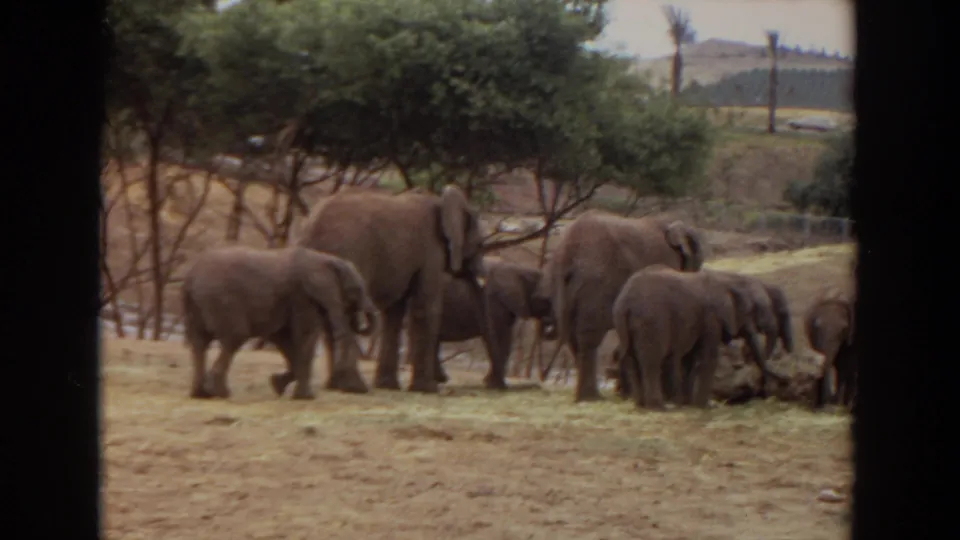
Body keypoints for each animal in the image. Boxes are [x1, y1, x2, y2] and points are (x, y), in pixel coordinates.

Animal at [181, 245, 378, 400]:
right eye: (357, 289)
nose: (357, 319)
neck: (325, 259)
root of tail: (189, 277)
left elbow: (284, 339)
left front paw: (277, 385)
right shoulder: (303, 297)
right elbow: (304, 336)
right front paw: (306, 397)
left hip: (196, 305)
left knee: (199, 343)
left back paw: (200, 394)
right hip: (222, 302)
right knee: (235, 337)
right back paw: (219, 392)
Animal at [295, 184, 486, 394]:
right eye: (480, 244)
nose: (444, 379)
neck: (442, 202)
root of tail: (310, 225)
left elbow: (395, 312)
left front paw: (388, 386)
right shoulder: (431, 250)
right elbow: (425, 308)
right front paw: (428, 389)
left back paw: (335, 385)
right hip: (347, 250)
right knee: (344, 312)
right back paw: (355, 387)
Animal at [431, 257, 554, 389]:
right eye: (547, 299)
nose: (547, 322)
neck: (520, 269)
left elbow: (506, 338)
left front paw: (491, 383)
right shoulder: (493, 302)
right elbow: (499, 336)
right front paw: (494, 385)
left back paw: (440, 379)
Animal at [533, 209, 706, 402]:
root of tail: (567, 253)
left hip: (559, 284)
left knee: (571, 335)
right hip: (597, 282)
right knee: (589, 337)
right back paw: (592, 397)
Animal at [611, 265, 747, 409]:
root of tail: (625, 304)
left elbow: (688, 359)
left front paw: (688, 404)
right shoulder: (711, 317)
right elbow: (708, 357)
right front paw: (705, 407)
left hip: (623, 324)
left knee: (633, 360)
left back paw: (641, 405)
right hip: (652, 321)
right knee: (652, 362)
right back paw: (659, 407)